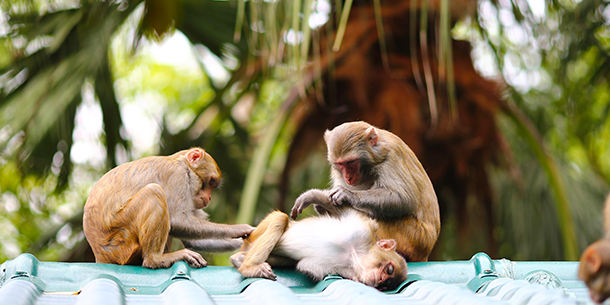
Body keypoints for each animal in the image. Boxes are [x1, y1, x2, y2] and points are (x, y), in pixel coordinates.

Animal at [82, 147, 253, 268]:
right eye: (211, 182)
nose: (209, 197)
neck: (181, 162)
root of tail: (100, 254)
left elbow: (191, 239)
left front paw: (243, 242)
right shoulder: (177, 175)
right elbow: (178, 220)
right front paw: (240, 229)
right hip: (121, 241)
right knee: (154, 192)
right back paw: (156, 260)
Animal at [230, 209, 406, 290]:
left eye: (386, 285)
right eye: (389, 269)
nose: (380, 280)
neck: (354, 255)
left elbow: (309, 266)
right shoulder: (363, 231)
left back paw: (239, 260)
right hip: (254, 237)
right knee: (281, 219)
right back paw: (248, 268)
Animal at [290, 121, 436, 262]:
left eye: (351, 162)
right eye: (340, 164)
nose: (348, 177)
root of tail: (426, 252)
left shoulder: (391, 156)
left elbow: (403, 198)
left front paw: (346, 195)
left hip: (412, 236)